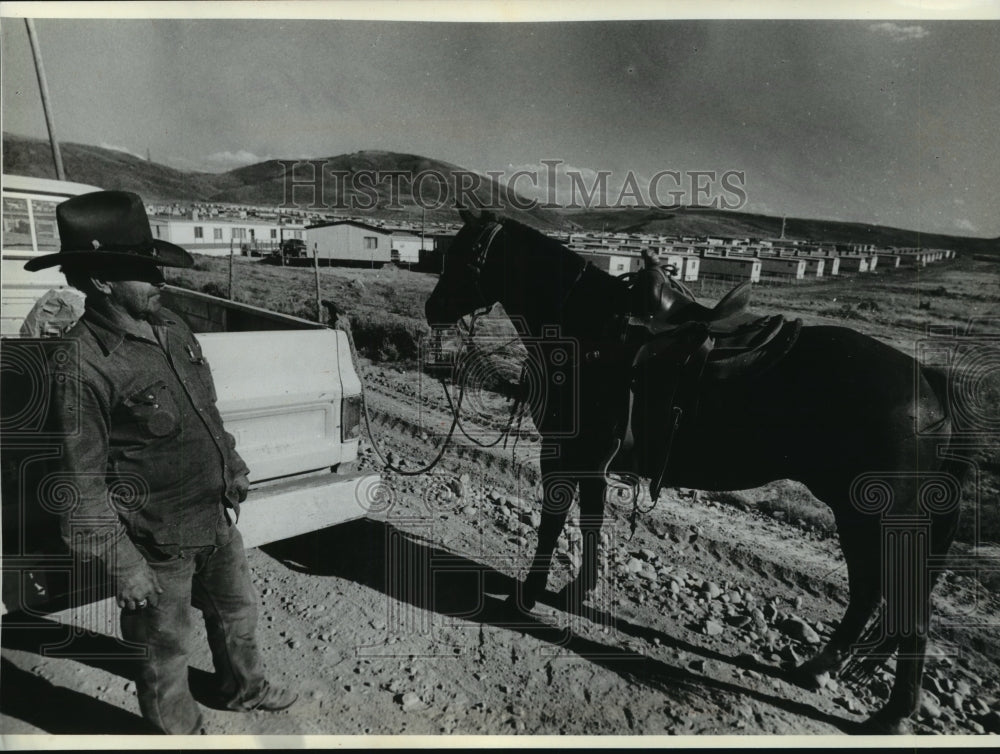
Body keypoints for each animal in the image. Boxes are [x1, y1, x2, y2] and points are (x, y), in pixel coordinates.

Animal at [424, 209, 960, 732]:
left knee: (906, 605)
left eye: (463, 255)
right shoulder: (593, 461)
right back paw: (817, 669)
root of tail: (930, 385)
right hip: (856, 515)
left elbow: (553, 525)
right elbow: (591, 525)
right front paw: (579, 591)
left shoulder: (567, 454)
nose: (432, 309)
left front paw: (529, 596)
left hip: (876, 515)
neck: (584, 326)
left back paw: (892, 714)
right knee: (869, 594)